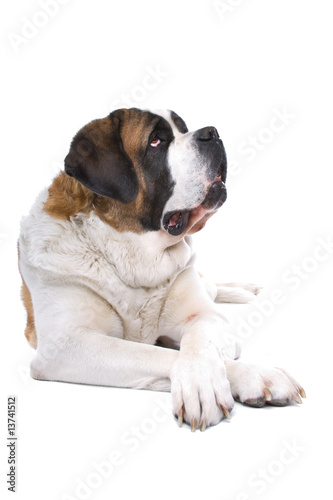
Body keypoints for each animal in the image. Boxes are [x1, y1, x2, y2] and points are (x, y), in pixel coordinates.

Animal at [17, 108, 304, 430]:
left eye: (184, 128)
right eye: (156, 141)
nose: (212, 133)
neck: (134, 256)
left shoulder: (204, 314)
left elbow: (199, 340)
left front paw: (232, 374)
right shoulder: (66, 346)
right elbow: (154, 354)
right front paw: (218, 382)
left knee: (211, 286)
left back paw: (245, 290)